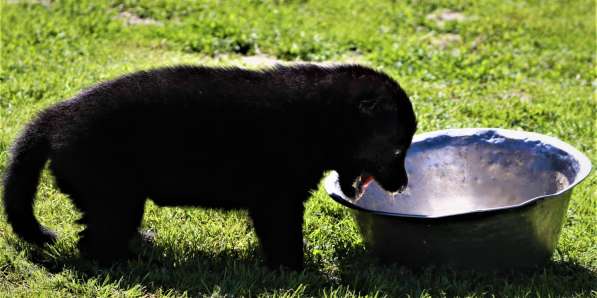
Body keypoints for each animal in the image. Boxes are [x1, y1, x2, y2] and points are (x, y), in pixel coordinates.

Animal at [2, 65, 416, 270]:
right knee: (95, 245)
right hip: (114, 197)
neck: (320, 117)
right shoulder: (278, 200)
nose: (402, 185)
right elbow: (284, 241)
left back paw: (142, 246)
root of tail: (55, 116)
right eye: (399, 148)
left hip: (116, 200)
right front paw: (300, 272)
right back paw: (133, 262)